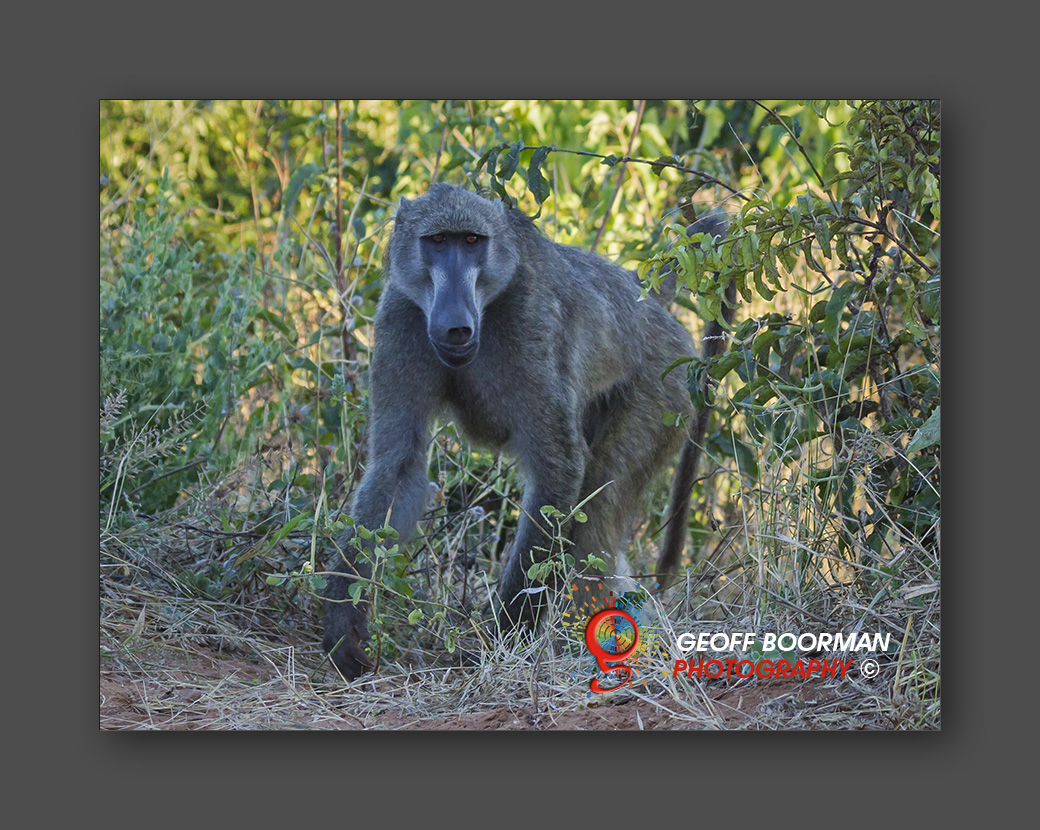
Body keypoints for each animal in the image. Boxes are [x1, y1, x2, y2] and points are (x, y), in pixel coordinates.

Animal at [322, 183, 734, 680]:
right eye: (437, 241)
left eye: (472, 242)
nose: (455, 325)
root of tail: (642, 292)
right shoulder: (400, 318)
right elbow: (398, 467)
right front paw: (343, 626)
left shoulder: (529, 325)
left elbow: (558, 469)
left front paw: (504, 643)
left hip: (663, 389)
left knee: (598, 504)